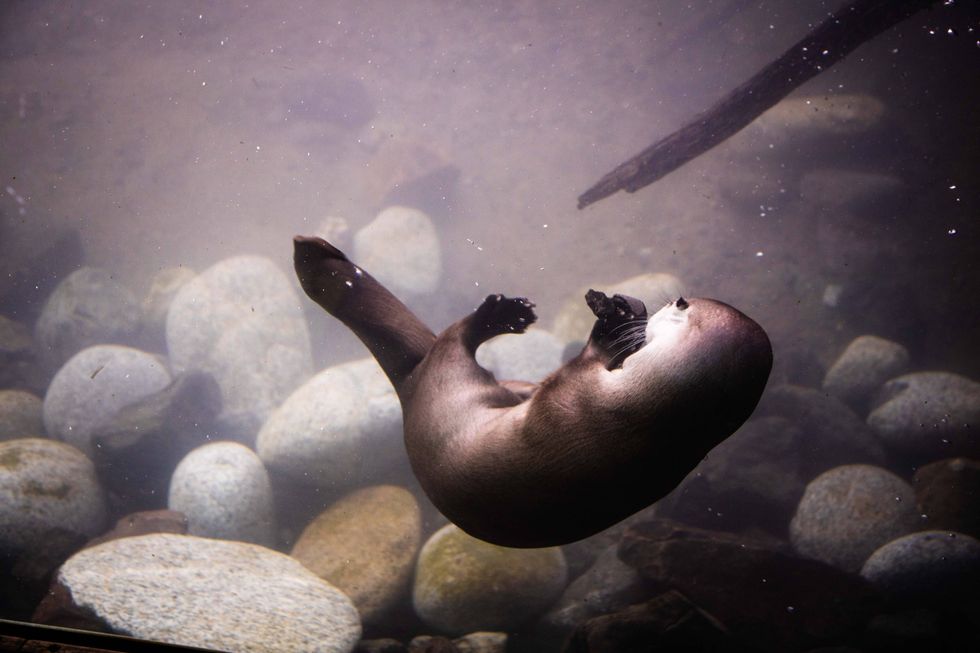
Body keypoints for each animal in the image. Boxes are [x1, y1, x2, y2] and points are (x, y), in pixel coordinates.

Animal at [293, 236, 772, 547]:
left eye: (679, 305)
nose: (670, 301)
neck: (642, 414)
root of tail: (408, 392)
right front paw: (622, 312)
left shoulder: (575, 397)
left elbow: (576, 369)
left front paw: (611, 324)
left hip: (446, 379)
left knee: (455, 339)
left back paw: (497, 315)